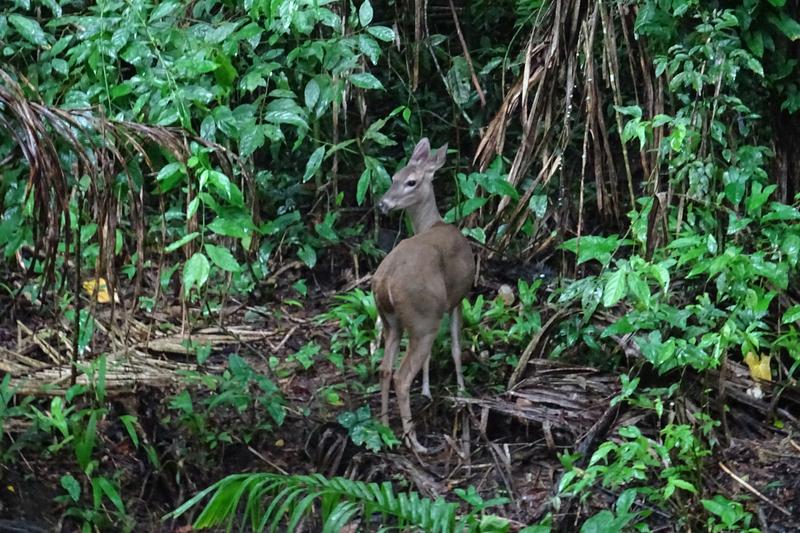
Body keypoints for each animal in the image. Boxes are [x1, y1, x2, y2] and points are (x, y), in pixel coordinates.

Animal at [370, 138, 476, 454]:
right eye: (394, 178)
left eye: (409, 180)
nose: (383, 203)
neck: (433, 224)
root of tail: (385, 281)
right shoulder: (457, 297)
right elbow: (455, 348)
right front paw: (462, 390)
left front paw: (428, 391)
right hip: (422, 317)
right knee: (401, 376)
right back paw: (414, 441)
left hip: (392, 320)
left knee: (384, 368)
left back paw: (384, 427)